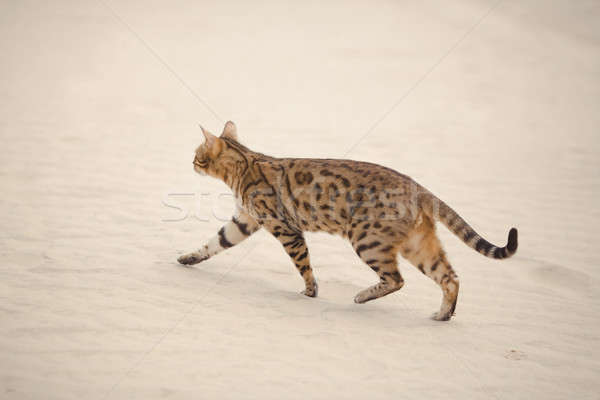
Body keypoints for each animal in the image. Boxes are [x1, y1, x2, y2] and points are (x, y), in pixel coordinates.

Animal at [177, 120, 516, 320]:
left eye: (197, 154)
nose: (190, 162)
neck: (246, 164)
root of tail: (419, 188)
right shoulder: (244, 220)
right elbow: (215, 243)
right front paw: (188, 258)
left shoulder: (285, 228)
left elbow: (303, 264)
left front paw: (310, 291)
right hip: (418, 245)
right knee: (450, 277)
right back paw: (443, 315)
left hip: (367, 240)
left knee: (397, 279)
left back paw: (362, 297)